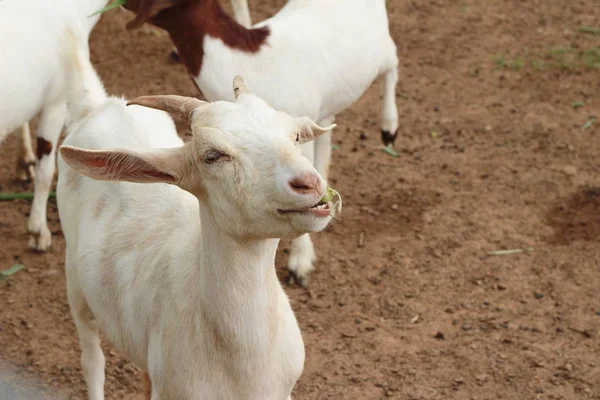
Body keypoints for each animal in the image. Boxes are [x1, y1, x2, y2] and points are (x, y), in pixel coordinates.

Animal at [56, 76, 336, 400]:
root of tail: (105, 104)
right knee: (92, 359)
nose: (310, 183)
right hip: (75, 281)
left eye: (296, 136)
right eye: (212, 156)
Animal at [124, 0, 400, 288]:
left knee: (392, 63)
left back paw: (389, 128)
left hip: (380, 51)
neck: (249, 59)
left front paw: (300, 263)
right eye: (213, 155)